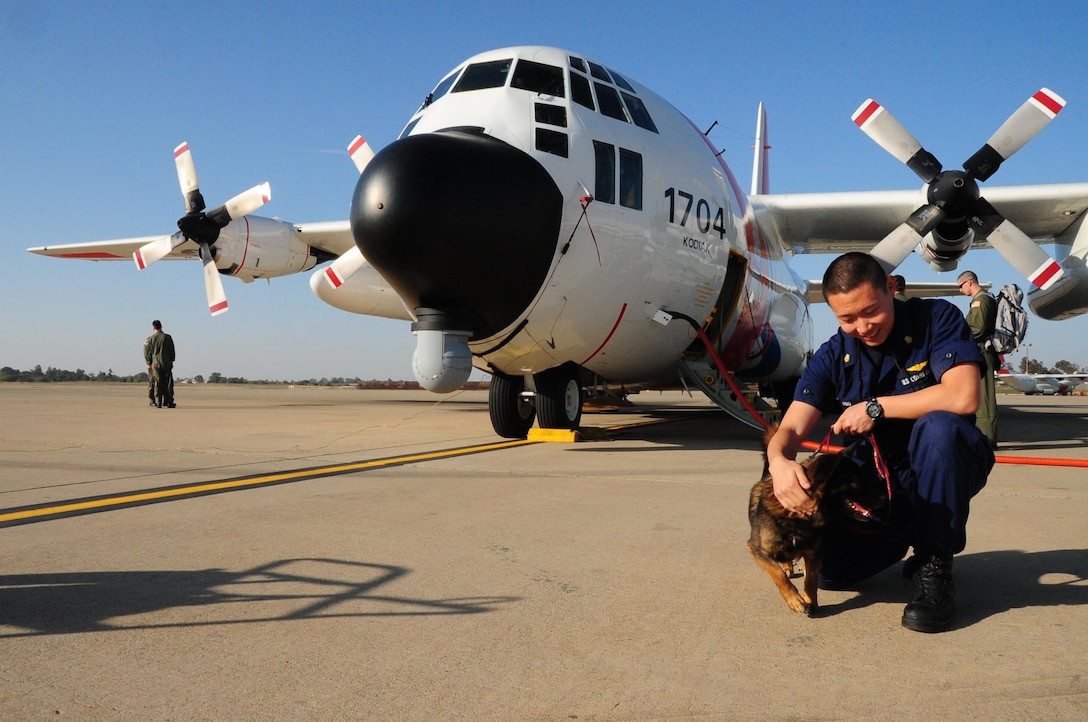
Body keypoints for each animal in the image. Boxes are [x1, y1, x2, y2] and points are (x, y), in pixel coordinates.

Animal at [748, 426, 883, 617]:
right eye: (857, 483)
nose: (884, 498)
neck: (798, 517)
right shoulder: (757, 550)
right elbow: (778, 575)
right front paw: (795, 600)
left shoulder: (815, 551)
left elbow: (811, 579)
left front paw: (810, 600)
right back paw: (788, 566)